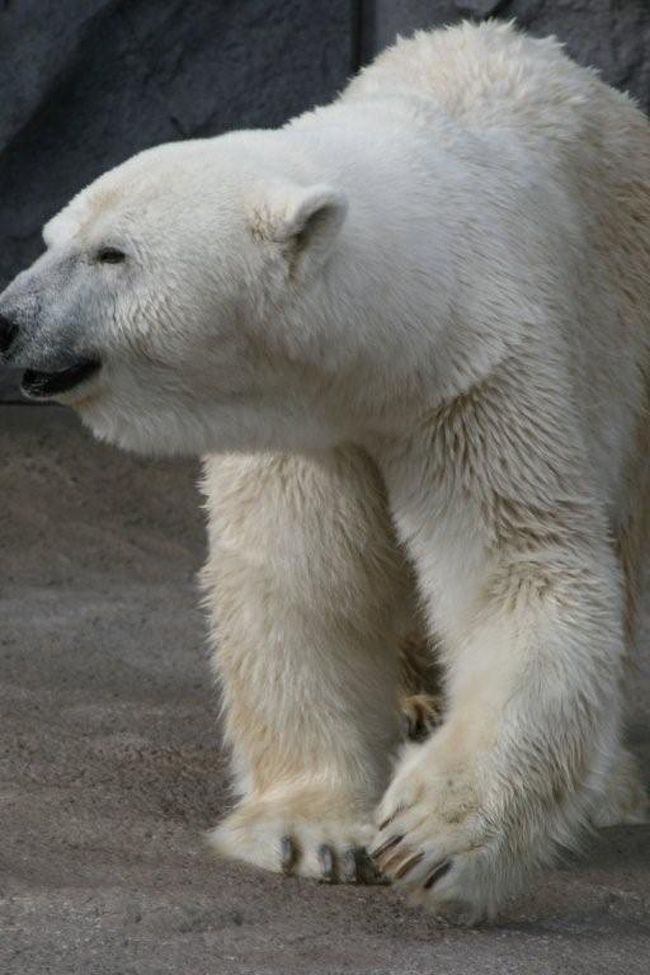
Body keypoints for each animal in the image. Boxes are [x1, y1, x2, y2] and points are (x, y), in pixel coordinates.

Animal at [1, 21, 648, 924]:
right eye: (53, 239)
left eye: (112, 254)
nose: (7, 319)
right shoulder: (304, 418)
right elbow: (306, 575)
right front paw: (316, 833)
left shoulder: (480, 379)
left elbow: (519, 568)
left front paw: (430, 837)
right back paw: (415, 701)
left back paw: (609, 779)